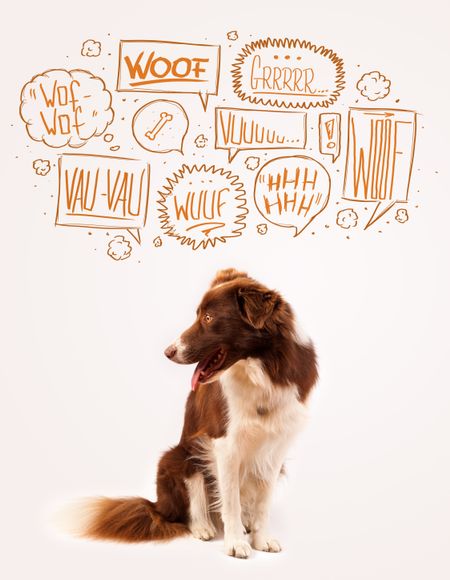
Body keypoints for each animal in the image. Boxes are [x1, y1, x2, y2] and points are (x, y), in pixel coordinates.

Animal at [78, 268, 316, 556]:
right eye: (198, 315)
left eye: (208, 318)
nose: (168, 352)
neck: (262, 371)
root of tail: (157, 506)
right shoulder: (225, 444)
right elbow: (231, 501)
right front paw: (235, 542)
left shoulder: (276, 446)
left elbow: (263, 502)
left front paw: (261, 539)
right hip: (179, 457)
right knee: (192, 505)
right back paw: (203, 526)